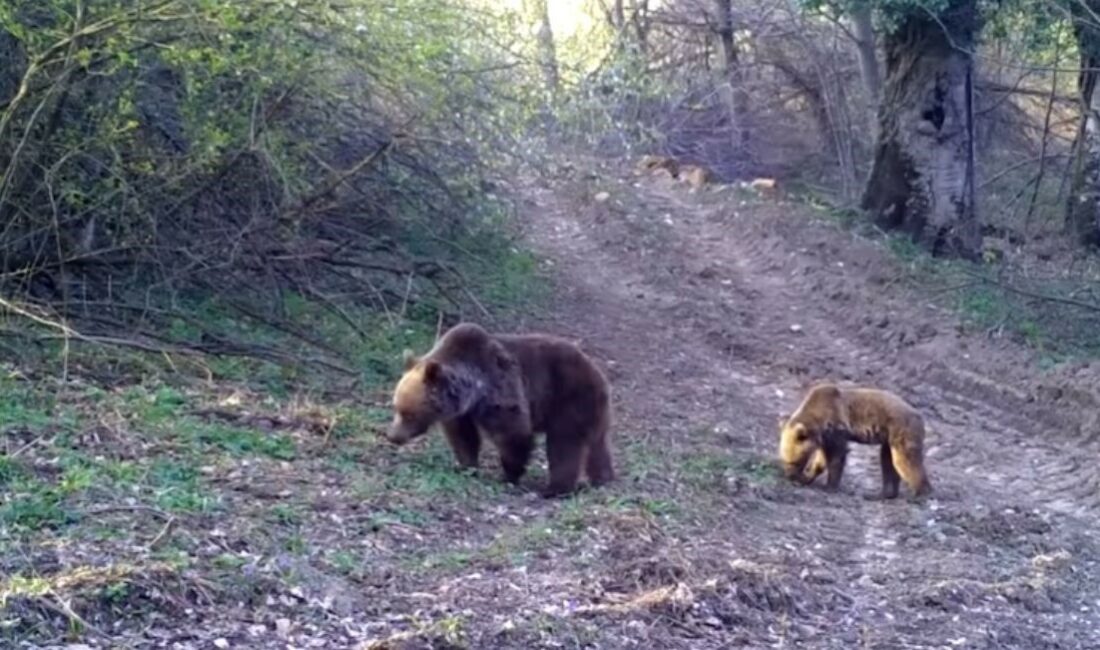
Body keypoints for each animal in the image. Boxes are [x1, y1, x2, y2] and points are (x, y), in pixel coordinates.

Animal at [385, 323, 611, 499]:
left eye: (409, 413)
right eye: (396, 407)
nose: (393, 436)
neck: (473, 391)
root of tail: (598, 373)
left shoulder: (500, 389)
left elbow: (513, 432)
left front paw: (508, 474)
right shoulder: (462, 412)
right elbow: (464, 437)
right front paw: (465, 466)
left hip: (570, 399)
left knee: (564, 444)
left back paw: (555, 489)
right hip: (593, 411)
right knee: (597, 445)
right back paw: (601, 478)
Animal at [778, 384, 932, 501]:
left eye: (794, 461)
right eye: (784, 459)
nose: (789, 476)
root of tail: (920, 416)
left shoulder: (836, 428)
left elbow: (836, 457)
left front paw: (829, 486)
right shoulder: (824, 438)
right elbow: (821, 459)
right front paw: (807, 477)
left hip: (901, 430)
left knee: (905, 461)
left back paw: (920, 494)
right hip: (889, 440)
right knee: (888, 462)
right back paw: (882, 494)